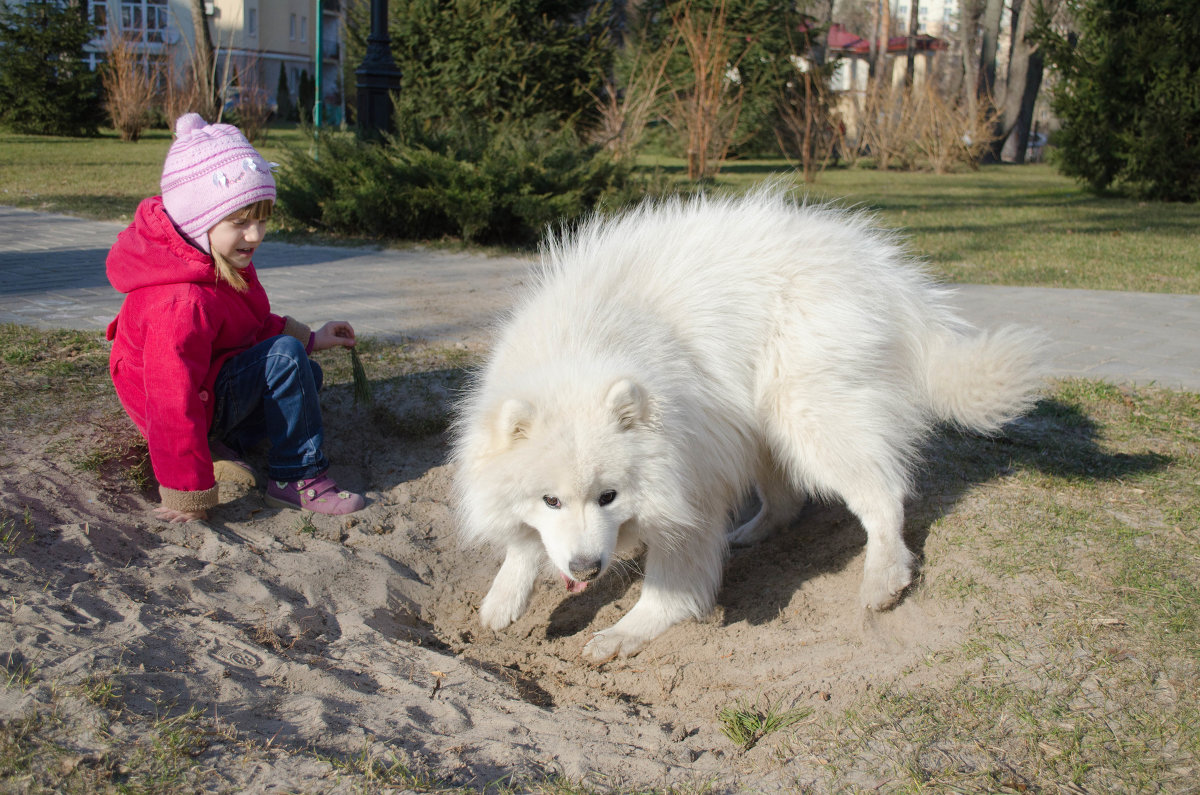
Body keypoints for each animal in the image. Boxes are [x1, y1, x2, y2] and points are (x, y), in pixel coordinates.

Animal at [451, 187, 1041, 658]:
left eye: (609, 497)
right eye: (550, 500)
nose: (585, 569)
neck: (582, 348)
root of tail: (880, 267)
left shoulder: (692, 479)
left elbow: (672, 583)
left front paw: (628, 631)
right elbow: (524, 538)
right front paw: (506, 594)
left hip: (805, 413)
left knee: (882, 494)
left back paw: (883, 577)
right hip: (762, 423)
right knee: (787, 499)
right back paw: (754, 533)